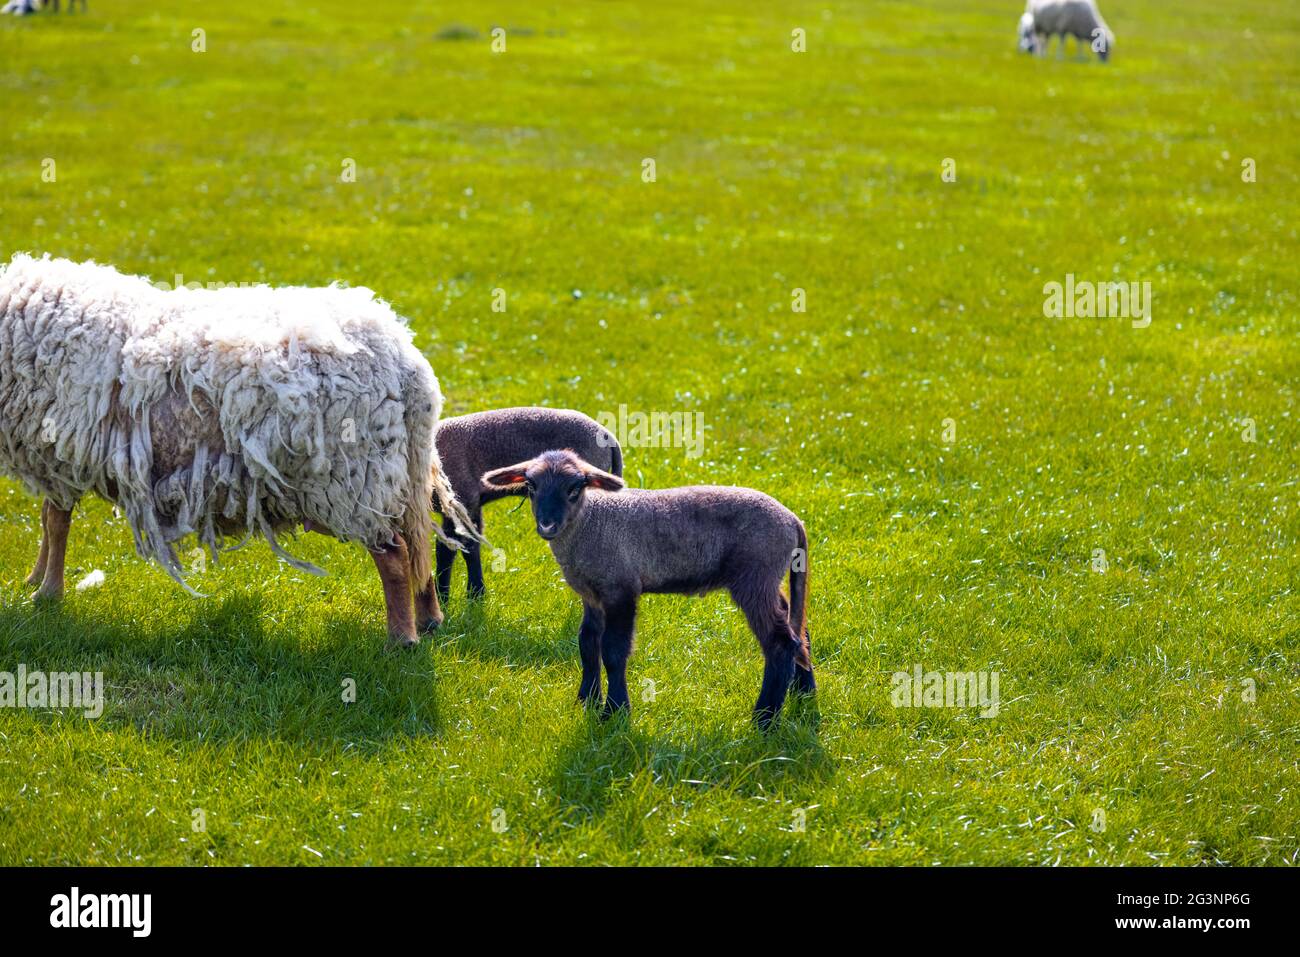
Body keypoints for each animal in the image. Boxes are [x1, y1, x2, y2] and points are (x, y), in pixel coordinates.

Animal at [0, 254, 481, 647]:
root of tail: (408, 366)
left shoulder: (58, 453)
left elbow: (55, 523)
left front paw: (46, 594)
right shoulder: (57, 457)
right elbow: (48, 521)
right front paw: (35, 579)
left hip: (351, 480)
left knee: (396, 555)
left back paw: (401, 640)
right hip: (397, 474)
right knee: (419, 545)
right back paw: (430, 619)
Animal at [432, 407, 622, 606]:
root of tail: (609, 437)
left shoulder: (461, 500)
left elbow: (447, 549)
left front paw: (443, 598)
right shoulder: (472, 504)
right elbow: (471, 545)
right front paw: (476, 595)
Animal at [482, 450, 814, 729]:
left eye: (574, 488)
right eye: (531, 486)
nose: (548, 525)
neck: (591, 521)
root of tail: (793, 520)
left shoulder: (620, 589)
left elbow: (613, 650)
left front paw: (614, 713)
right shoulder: (592, 594)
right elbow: (587, 643)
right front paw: (586, 701)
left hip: (755, 575)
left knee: (780, 642)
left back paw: (764, 719)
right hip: (768, 578)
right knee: (798, 628)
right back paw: (804, 693)